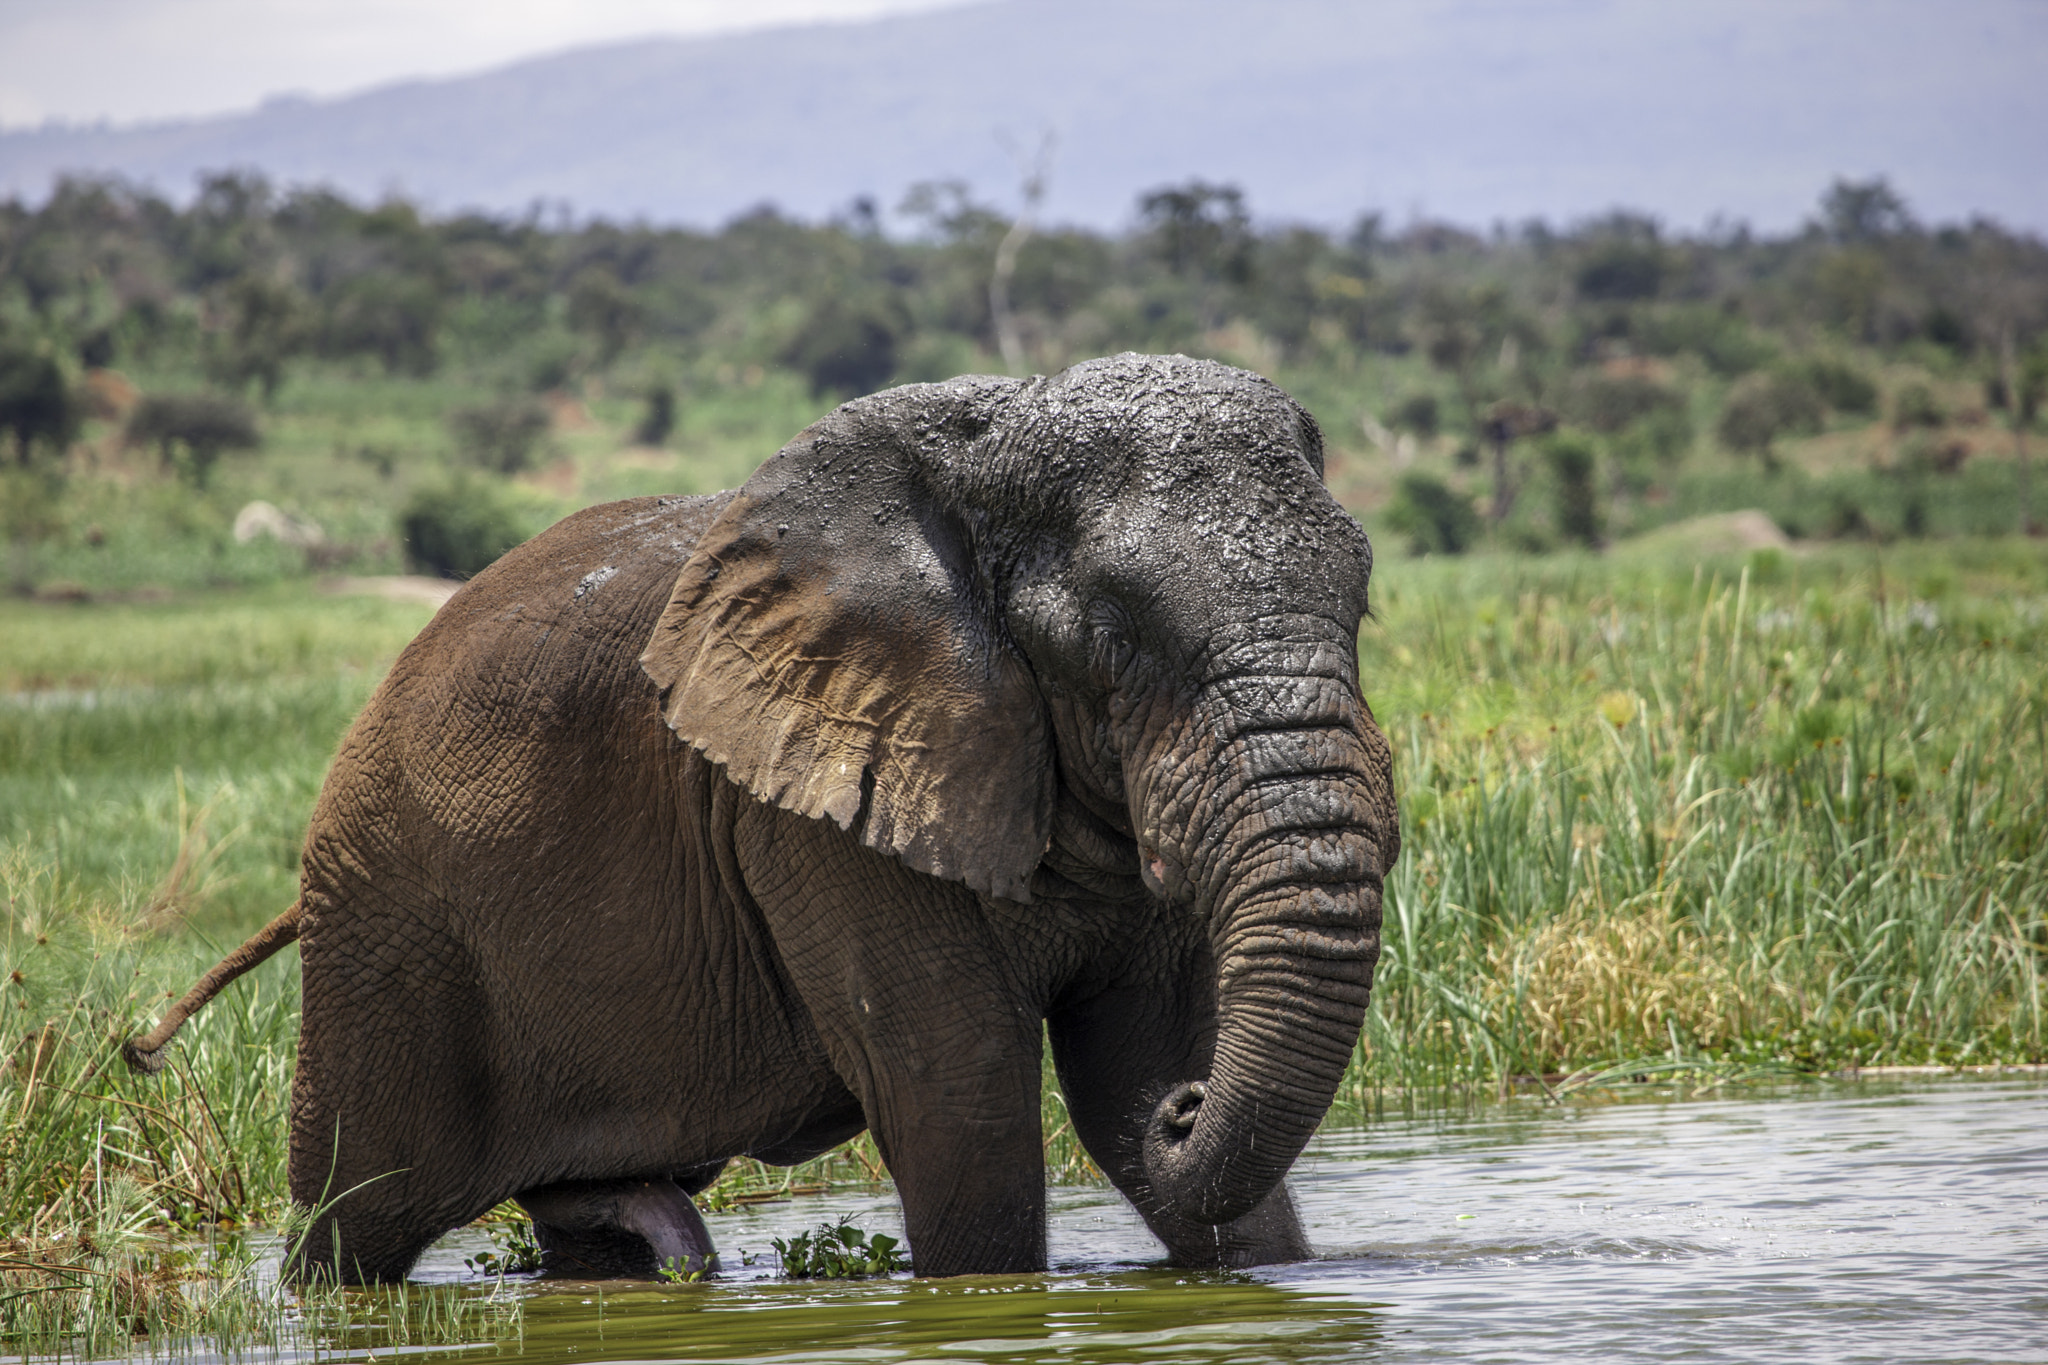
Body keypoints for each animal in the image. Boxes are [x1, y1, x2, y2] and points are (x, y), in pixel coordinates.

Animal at [128, 349, 1400, 1285]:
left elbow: (1129, 1075)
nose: (1188, 1112)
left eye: (1362, 594)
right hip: (385, 930)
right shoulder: (813, 814)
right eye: (1109, 635)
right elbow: (960, 1101)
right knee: (355, 1223)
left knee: (588, 1221)